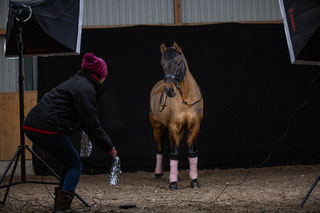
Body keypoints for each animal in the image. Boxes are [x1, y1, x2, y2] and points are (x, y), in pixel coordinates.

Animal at [149, 41, 204, 190]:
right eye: (162, 64)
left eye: (178, 63)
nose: (170, 90)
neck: (186, 99)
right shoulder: (173, 127)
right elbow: (174, 154)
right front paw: (172, 183)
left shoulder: (194, 127)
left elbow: (192, 153)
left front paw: (194, 181)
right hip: (158, 128)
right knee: (160, 149)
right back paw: (159, 174)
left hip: (179, 130)